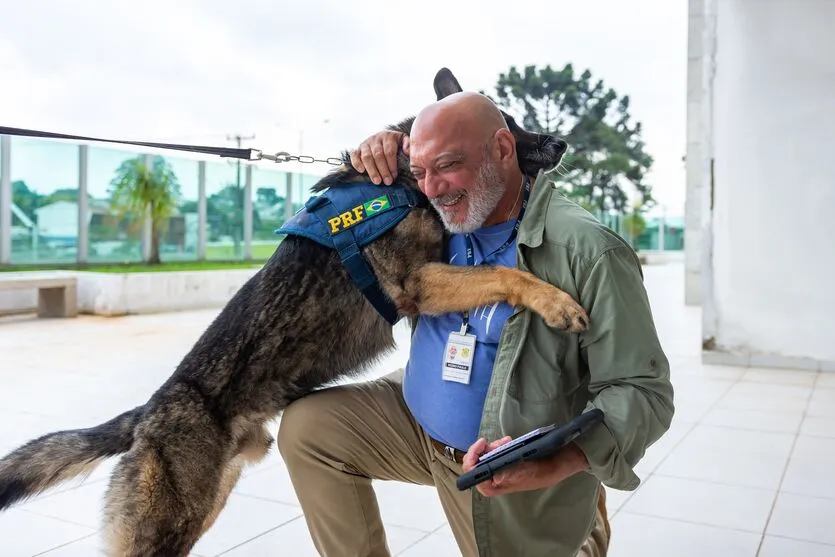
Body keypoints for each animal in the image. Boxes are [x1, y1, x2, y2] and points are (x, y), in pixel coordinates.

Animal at [0, 67, 588, 552]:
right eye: (507, 132)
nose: (562, 142)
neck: (406, 181)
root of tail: (148, 414)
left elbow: (498, 273)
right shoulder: (418, 283)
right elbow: (506, 274)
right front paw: (556, 302)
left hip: (208, 504)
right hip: (170, 525)